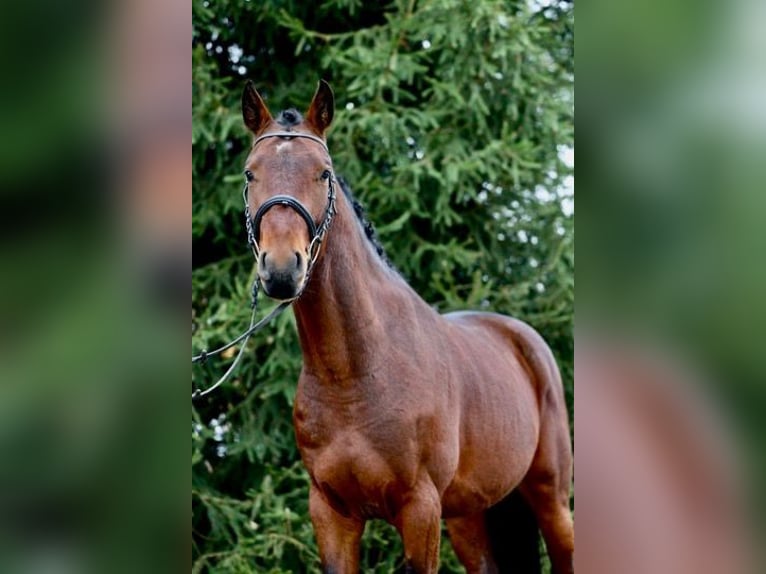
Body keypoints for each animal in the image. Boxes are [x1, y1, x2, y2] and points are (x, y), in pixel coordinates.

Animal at [243, 81, 572, 574]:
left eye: (324, 174)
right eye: (249, 174)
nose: (282, 269)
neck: (355, 373)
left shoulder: (420, 508)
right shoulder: (331, 514)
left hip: (550, 498)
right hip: (471, 515)